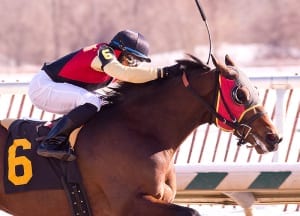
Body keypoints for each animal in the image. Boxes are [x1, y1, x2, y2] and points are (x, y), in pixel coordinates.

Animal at [0, 54, 282, 216]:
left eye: (254, 90)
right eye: (240, 94)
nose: (273, 137)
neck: (141, 132)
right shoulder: (128, 204)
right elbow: (192, 213)